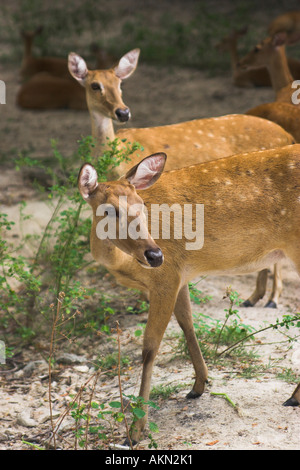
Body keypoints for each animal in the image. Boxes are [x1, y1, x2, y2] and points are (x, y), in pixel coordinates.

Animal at [68, 47, 296, 308]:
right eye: (95, 85)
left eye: (120, 83)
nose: (123, 112)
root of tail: (286, 135)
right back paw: (255, 297)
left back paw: (272, 298)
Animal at [78, 149, 300, 442]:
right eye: (108, 210)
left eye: (142, 205)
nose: (155, 254)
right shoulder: (179, 277)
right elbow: (187, 323)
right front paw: (199, 385)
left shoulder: (165, 277)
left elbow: (150, 347)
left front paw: (135, 430)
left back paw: (294, 396)